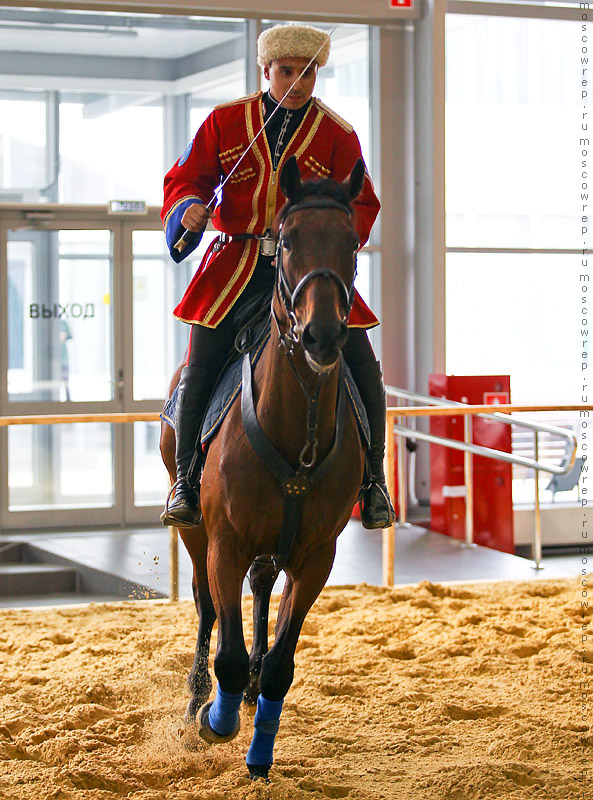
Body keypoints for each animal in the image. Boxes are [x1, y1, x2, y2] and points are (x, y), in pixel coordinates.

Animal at [160, 158, 368, 780]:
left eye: (352, 242)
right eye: (290, 239)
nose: (323, 334)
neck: (295, 428)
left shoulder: (316, 557)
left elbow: (281, 662)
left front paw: (259, 751)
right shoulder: (224, 543)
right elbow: (225, 647)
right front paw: (216, 720)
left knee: (260, 588)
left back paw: (250, 695)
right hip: (195, 532)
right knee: (207, 607)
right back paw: (198, 699)